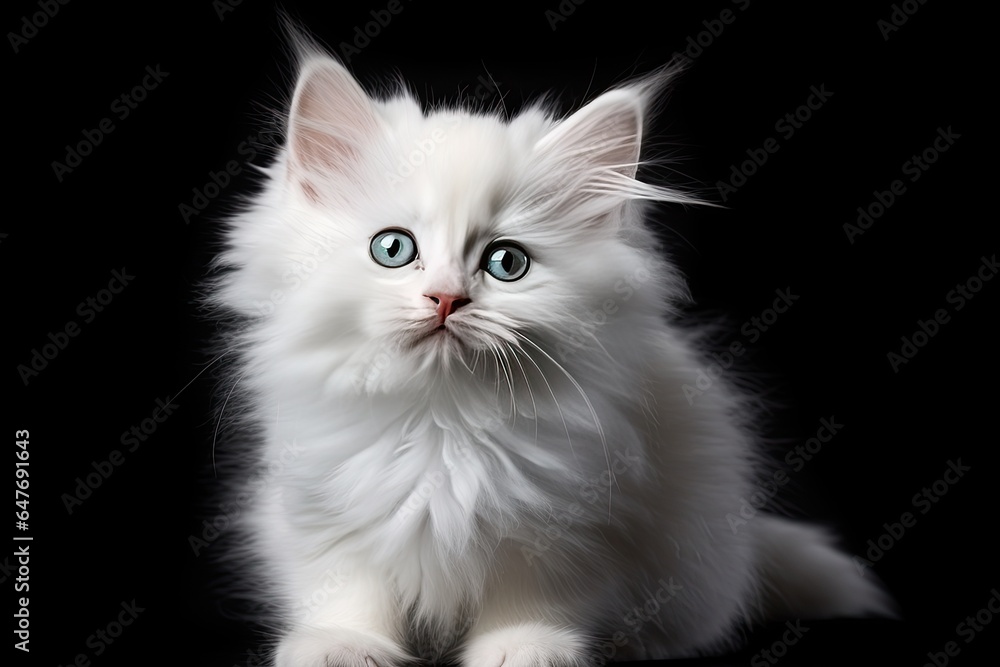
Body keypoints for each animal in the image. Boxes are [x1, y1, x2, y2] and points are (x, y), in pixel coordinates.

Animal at [207, 36, 896, 667]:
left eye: (506, 263)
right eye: (393, 249)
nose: (446, 299)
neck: (444, 416)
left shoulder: (570, 526)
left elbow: (532, 599)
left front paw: (528, 647)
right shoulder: (324, 512)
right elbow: (349, 592)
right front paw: (343, 646)